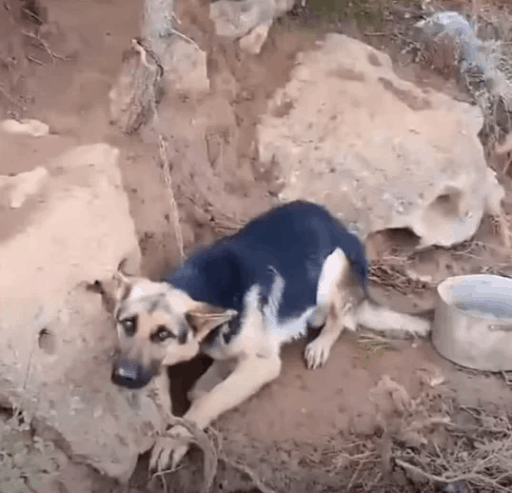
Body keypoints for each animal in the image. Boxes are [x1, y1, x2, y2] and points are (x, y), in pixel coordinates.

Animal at [108, 201, 432, 472]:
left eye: (163, 334)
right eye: (127, 324)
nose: (122, 377)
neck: (207, 286)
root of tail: (336, 223)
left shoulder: (263, 364)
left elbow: (208, 401)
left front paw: (176, 437)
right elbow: (199, 388)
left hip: (332, 268)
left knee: (341, 318)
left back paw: (321, 342)